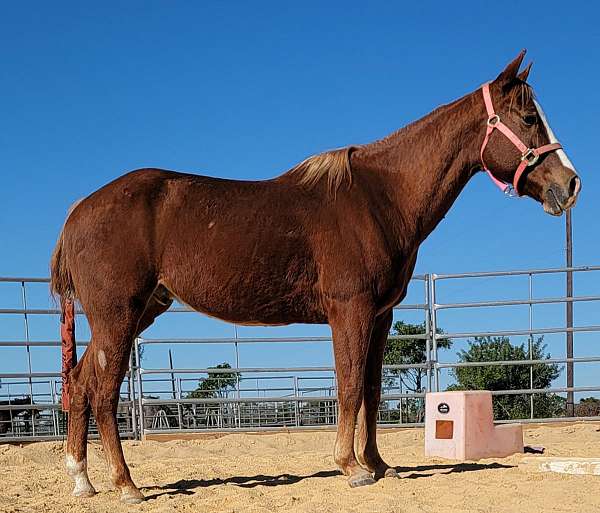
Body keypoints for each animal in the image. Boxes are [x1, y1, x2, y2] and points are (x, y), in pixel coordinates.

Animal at [52, 51, 580, 500]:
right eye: (529, 119)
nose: (571, 184)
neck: (380, 198)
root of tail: (78, 211)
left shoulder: (380, 317)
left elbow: (371, 389)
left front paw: (378, 463)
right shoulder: (350, 311)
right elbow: (348, 386)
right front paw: (351, 468)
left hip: (139, 311)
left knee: (80, 383)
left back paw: (82, 479)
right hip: (118, 315)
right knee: (104, 392)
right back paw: (126, 484)